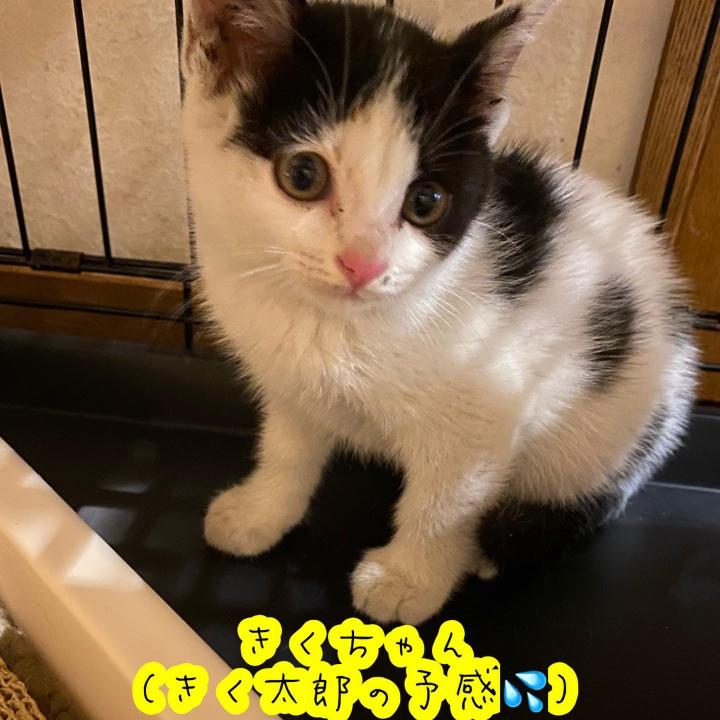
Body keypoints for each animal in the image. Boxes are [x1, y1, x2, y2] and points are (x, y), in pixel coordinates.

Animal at [181, 0, 698, 624]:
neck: (333, 326)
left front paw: (410, 578)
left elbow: (446, 500)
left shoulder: (487, 404)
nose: (363, 264)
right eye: (303, 175)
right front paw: (261, 512)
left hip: (607, 443)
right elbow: (286, 447)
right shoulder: (291, 383)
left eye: (425, 202)